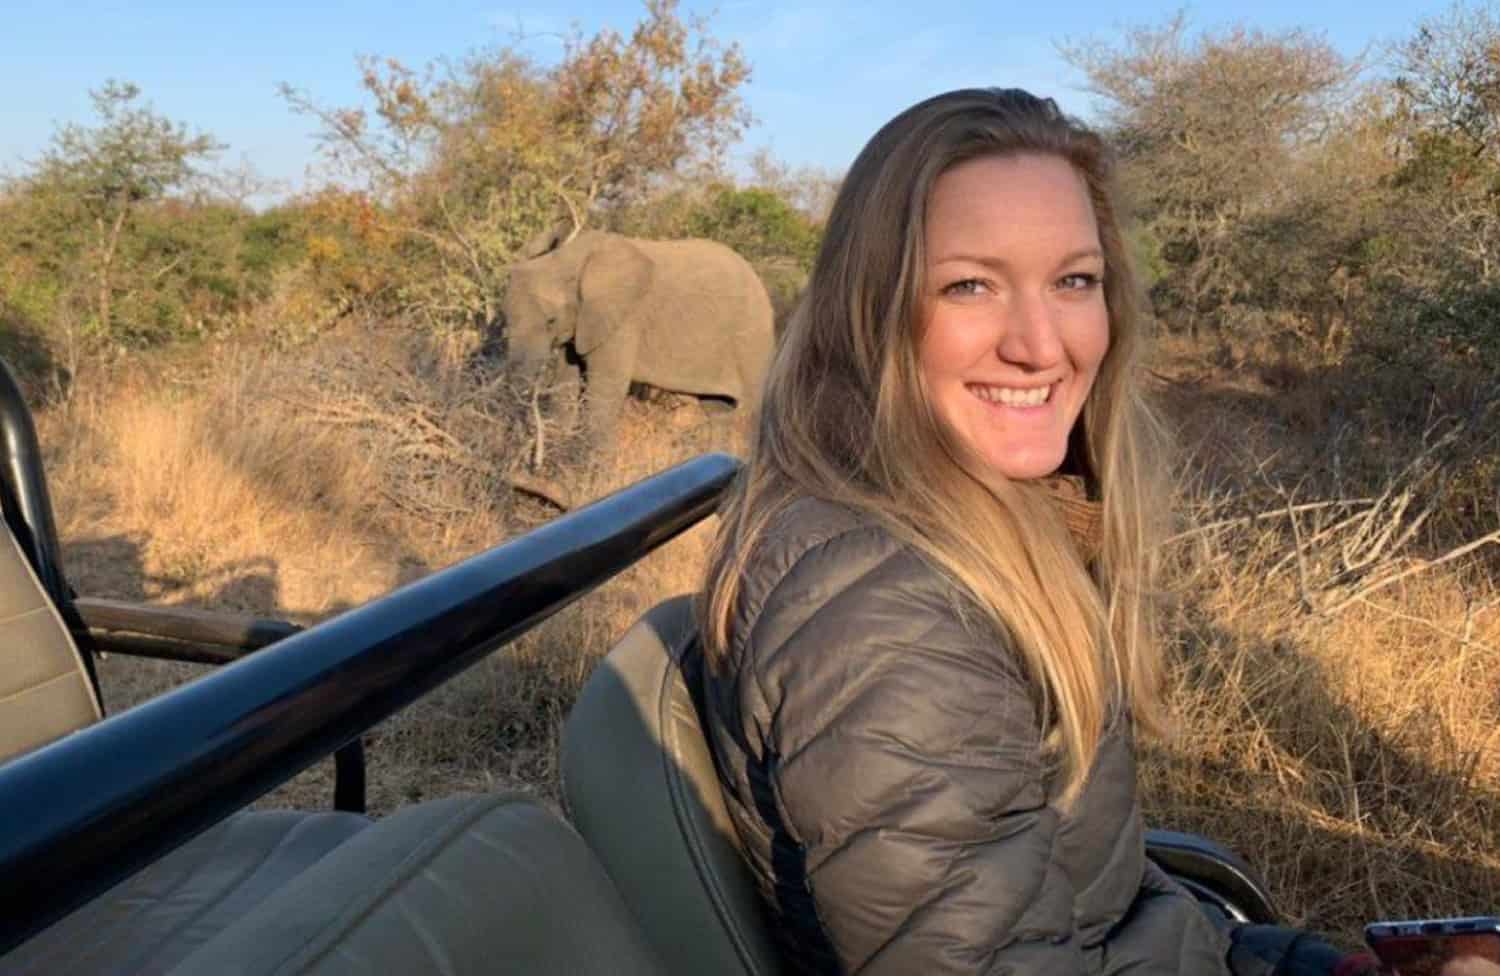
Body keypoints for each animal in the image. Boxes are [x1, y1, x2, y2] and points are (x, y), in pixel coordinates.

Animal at [501, 230, 774, 452]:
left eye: (551, 321)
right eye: (507, 319)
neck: (567, 259)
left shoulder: (624, 319)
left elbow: (604, 392)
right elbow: (566, 384)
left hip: (753, 339)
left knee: (752, 413)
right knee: (718, 411)